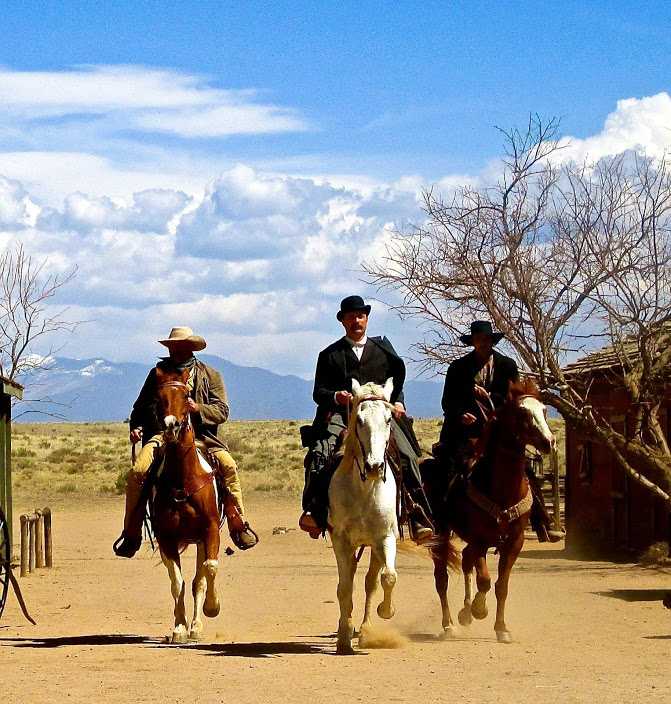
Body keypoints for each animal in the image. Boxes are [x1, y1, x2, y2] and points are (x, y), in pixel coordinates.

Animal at [330, 380, 400, 656]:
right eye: (358, 419)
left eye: (389, 418)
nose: (374, 467)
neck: (364, 489)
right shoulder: (341, 541)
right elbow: (344, 587)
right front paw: (343, 636)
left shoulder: (385, 537)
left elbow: (388, 577)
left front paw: (386, 611)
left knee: (372, 582)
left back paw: (367, 630)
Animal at [430, 380, 556, 644]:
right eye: (522, 413)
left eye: (544, 411)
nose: (549, 441)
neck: (502, 489)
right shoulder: (479, 540)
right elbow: (485, 580)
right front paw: (479, 610)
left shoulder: (514, 542)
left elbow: (501, 586)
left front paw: (501, 628)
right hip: (441, 531)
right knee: (442, 578)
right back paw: (450, 624)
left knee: (465, 561)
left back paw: (464, 612)